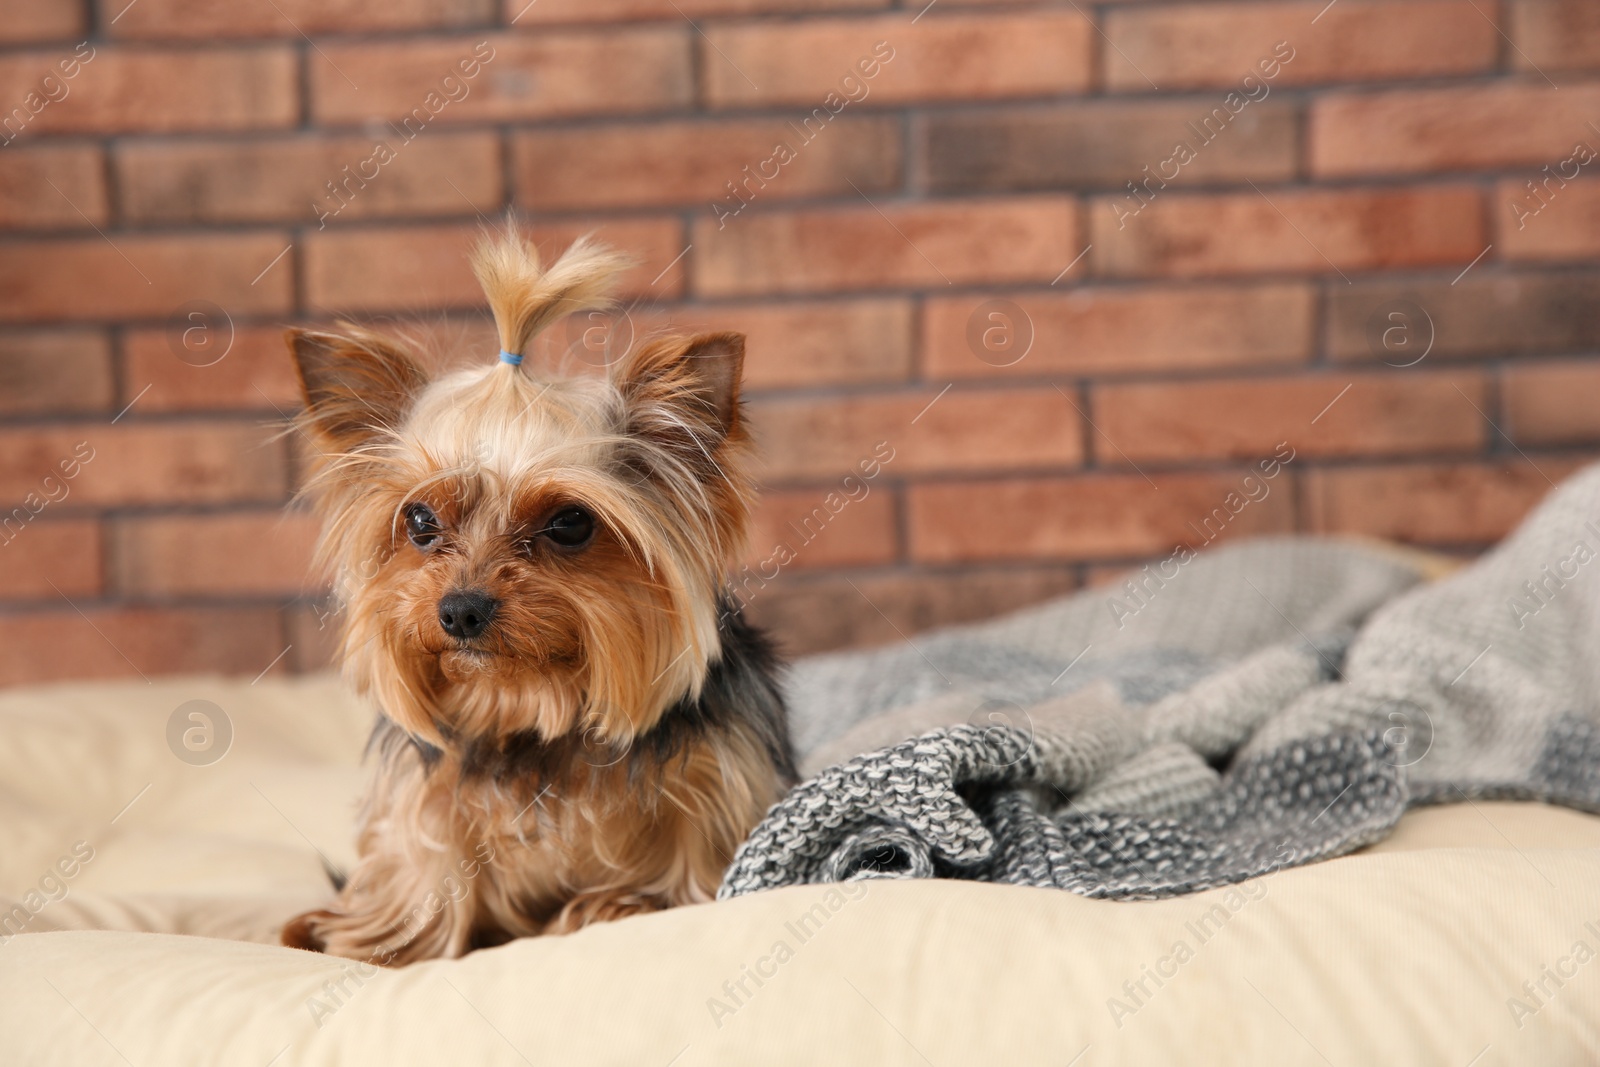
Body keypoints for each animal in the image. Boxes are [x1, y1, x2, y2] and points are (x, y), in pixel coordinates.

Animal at [286, 230, 793, 966]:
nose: (460, 610)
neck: (529, 704)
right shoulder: (427, 800)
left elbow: (693, 873)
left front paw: (616, 905)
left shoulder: (720, 779)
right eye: (420, 521)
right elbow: (425, 867)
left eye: (570, 523)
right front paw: (380, 936)